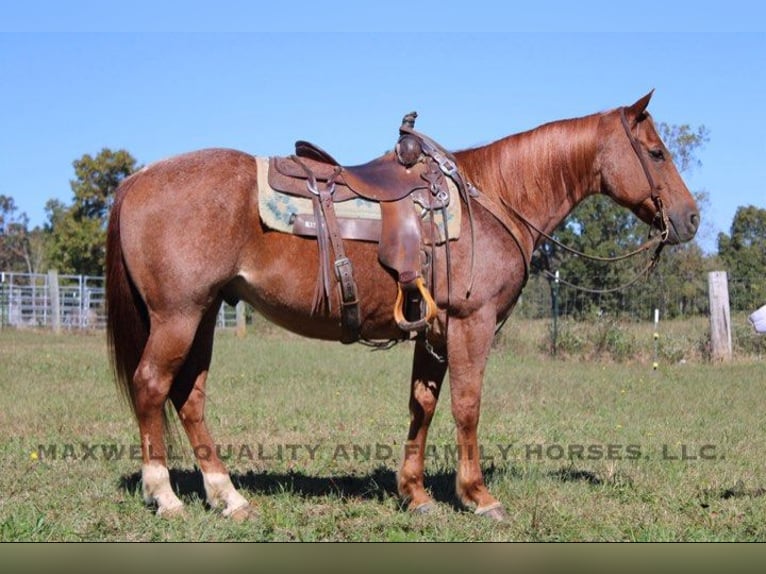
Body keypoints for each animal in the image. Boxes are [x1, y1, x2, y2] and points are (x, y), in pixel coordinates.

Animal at [105, 91, 699, 521]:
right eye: (656, 153)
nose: (690, 218)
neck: (494, 198)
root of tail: (136, 180)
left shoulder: (432, 331)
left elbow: (423, 405)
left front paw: (415, 495)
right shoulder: (470, 324)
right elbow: (466, 406)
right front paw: (478, 497)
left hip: (204, 314)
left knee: (189, 397)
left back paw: (228, 497)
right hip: (178, 316)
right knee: (152, 387)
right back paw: (166, 496)